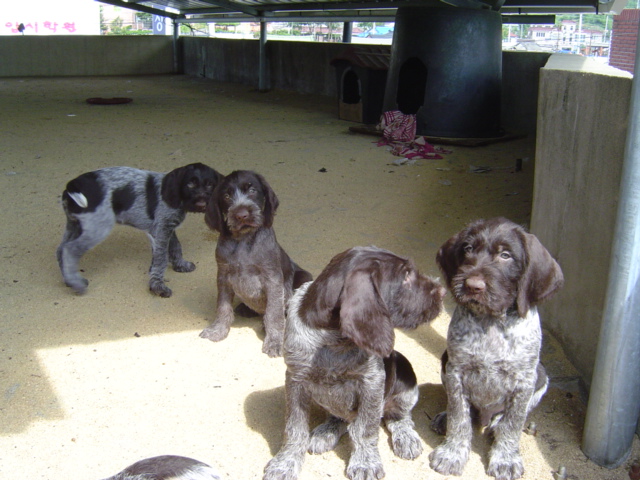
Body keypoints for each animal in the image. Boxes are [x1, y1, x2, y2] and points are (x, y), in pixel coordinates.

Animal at [57, 163, 222, 298]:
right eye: (190, 184)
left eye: (210, 184)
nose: (201, 204)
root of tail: (75, 183)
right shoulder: (161, 230)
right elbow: (161, 259)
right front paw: (158, 286)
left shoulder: (166, 228)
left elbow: (175, 247)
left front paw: (180, 265)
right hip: (97, 227)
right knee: (70, 249)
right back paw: (76, 282)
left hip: (75, 225)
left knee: (61, 249)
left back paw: (68, 279)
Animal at [199, 170, 312, 357]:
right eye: (227, 196)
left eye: (252, 190)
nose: (242, 215)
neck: (243, 240)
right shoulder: (223, 276)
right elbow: (223, 307)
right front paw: (218, 330)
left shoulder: (273, 279)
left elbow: (274, 315)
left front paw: (274, 341)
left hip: (304, 277)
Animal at [263, 246, 446, 480]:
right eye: (405, 276)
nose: (442, 291)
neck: (332, 340)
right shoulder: (296, 380)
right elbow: (294, 429)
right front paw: (285, 463)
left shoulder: (372, 383)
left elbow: (365, 429)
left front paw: (365, 462)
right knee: (341, 418)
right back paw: (327, 431)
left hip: (405, 381)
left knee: (398, 416)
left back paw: (406, 437)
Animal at [428, 218, 564, 480]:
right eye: (468, 249)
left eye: (505, 255)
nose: (472, 285)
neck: (490, 321)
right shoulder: (456, 371)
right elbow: (459, 417)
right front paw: (452, 453)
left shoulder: (524, 382)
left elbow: (513, 425)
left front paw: (506, 459)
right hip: (444, 361)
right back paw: (444, 418)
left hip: (541, 377)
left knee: (507, 418)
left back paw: (496, 424)